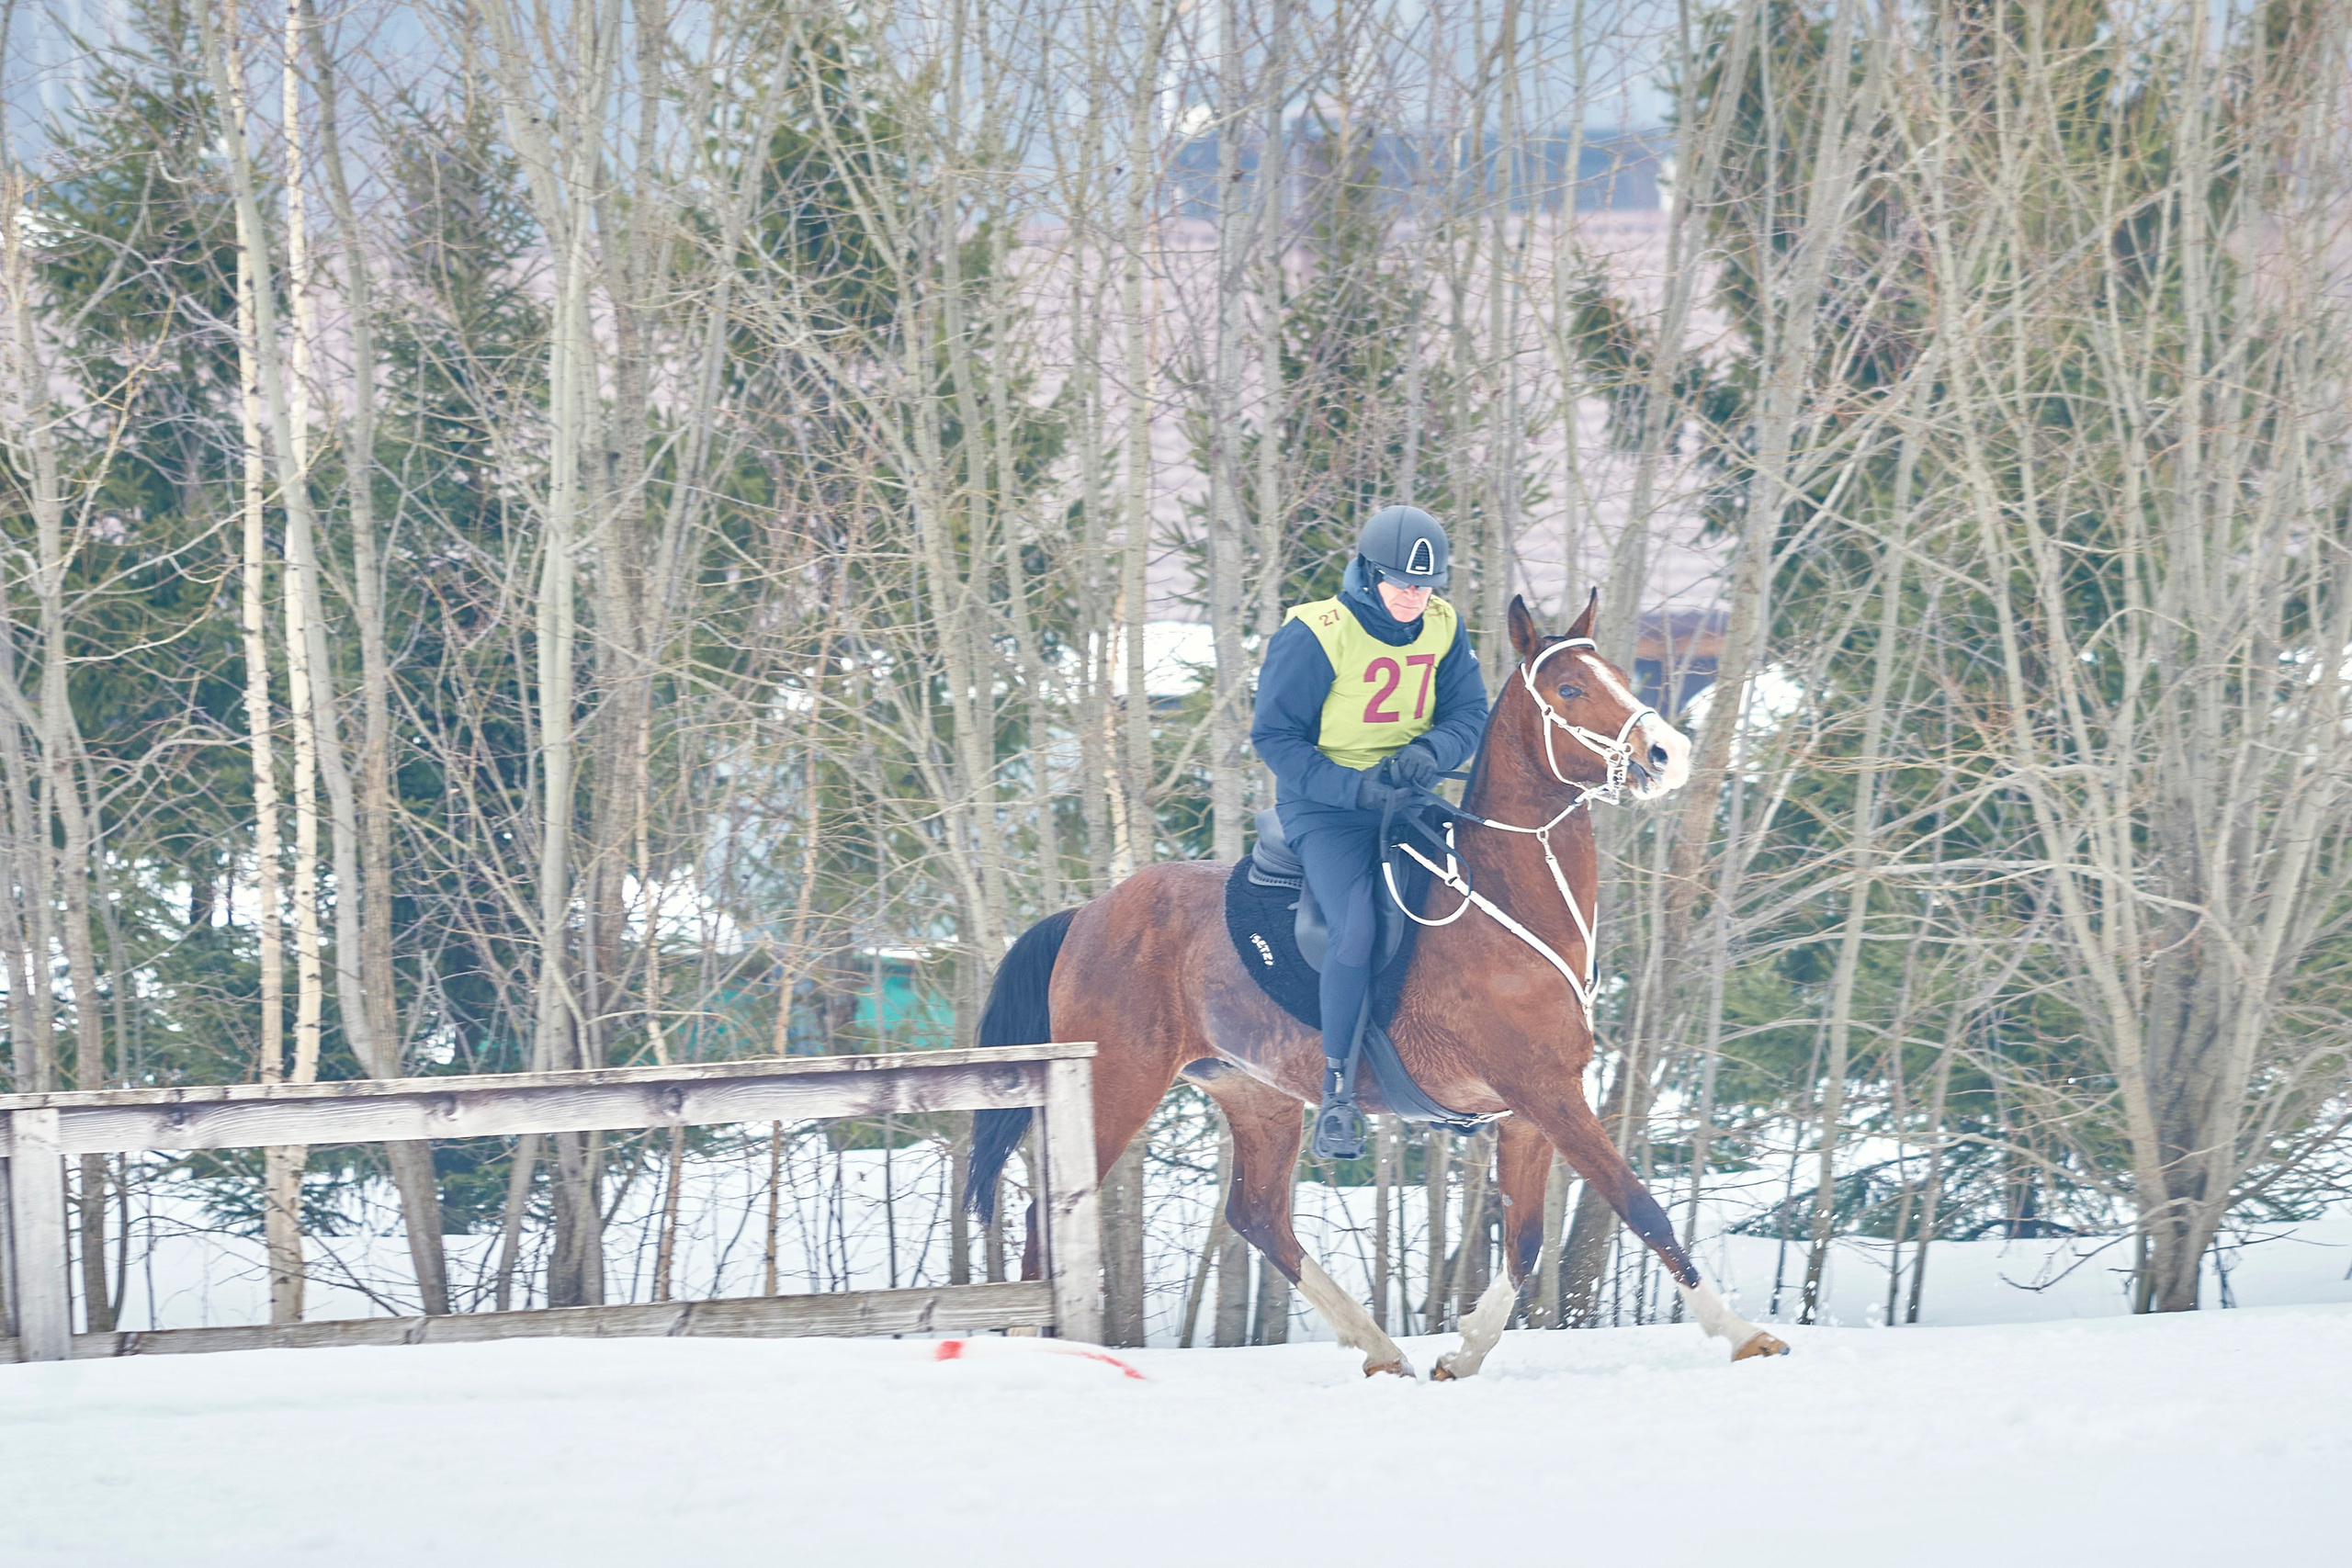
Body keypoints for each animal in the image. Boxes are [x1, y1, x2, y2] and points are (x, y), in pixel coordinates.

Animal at [965, 592, 1790, 1376]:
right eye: (1571, 686)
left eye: (1620, 673)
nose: (1669, 751)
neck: (1509, 902)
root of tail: (1087, 913)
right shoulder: (1547, 1093)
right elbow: (1638, 1204)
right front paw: (1743, 1333)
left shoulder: (1530, 1111)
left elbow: (1524, 1239)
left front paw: (1463, 1352)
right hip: (1116, 1084)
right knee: (1049, 1216)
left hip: (1256, 1095)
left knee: (1259, 1216)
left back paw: (1381, 1347)